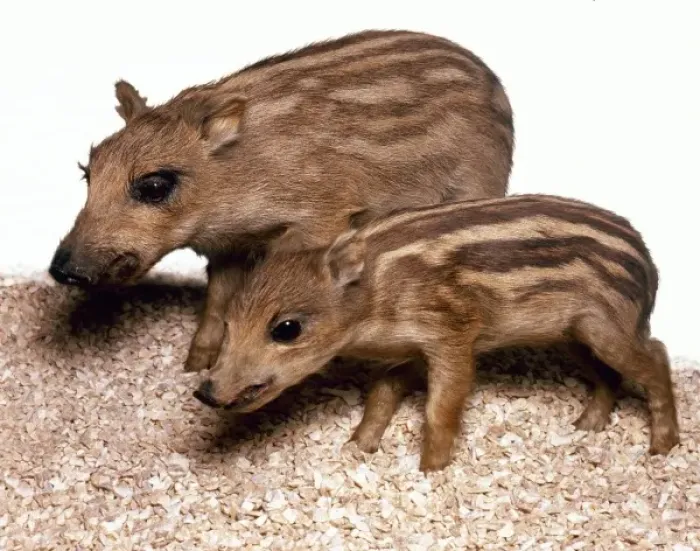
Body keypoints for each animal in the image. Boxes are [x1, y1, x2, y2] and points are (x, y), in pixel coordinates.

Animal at [47, 29, 515, 373]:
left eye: (154, 186)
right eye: (87, 173)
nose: (61, 270)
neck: (237, 178)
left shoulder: (321, 217)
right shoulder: (226, 246)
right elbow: (216, 300)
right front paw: (195, 366)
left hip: (479, 182)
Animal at [194, 193, 680, 472]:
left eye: (286, 328)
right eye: (230, 324)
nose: (205, 392)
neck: (376, 297)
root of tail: (649, 265)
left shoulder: (452, 335)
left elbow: (439, 408)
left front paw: (430, 472)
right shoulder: (408, 347)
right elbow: (382, 393)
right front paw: (358, 448)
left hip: (605, 326)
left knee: (656, 355)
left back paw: (662, 448)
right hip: (572, 335)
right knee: (609, 374)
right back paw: (586, 427)